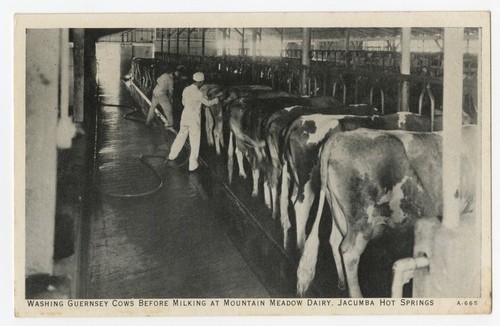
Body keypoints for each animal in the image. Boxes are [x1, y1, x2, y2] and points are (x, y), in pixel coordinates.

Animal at [294, 125, 478, 298]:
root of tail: (338, 138)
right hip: (362, 219)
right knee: (349, 253)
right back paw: (357, 295)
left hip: (338, 211)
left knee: (335, 240)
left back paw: (342, 283)